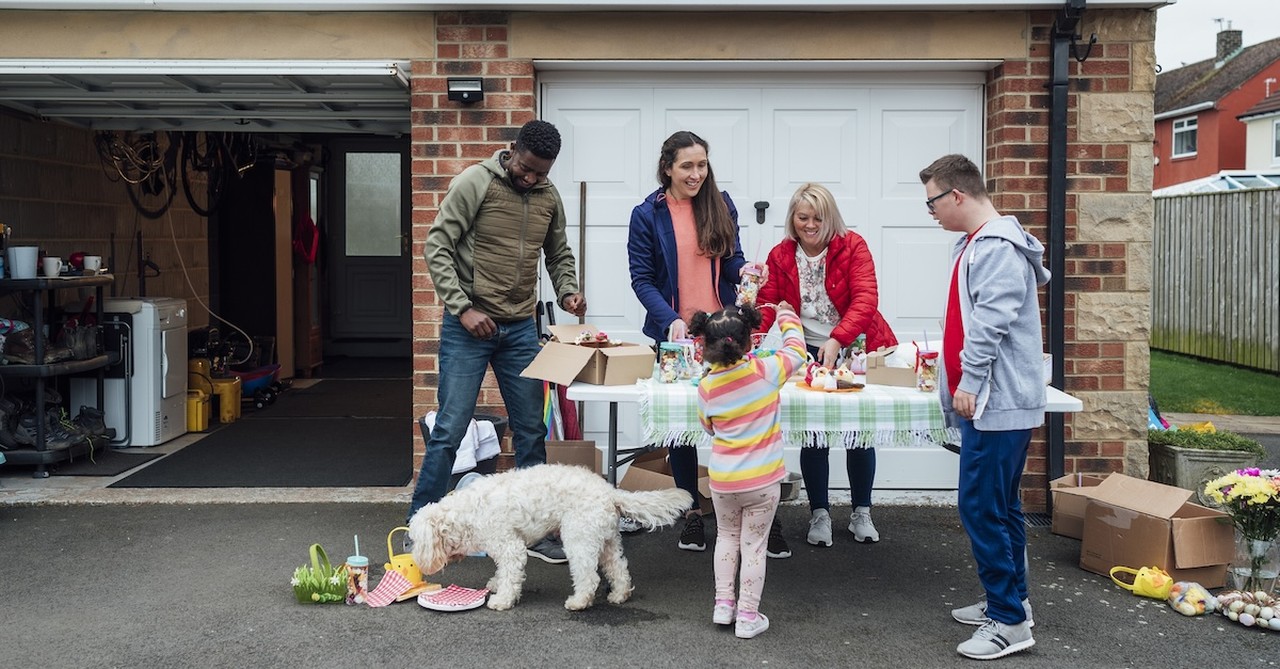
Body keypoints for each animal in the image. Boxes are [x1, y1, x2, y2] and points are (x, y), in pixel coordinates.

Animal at [407, 465, 691, 611]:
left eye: (415, 541)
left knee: (589, 578)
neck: (466, 512)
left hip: (578, 539)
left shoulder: (509, 546)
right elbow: (502, 571)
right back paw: (619, 595)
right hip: (607, 541)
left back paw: (578, 602)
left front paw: (502, 600)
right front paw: (496, 584)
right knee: (619, 569)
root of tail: (609, 492)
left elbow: (510, 574)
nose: (415, 561)